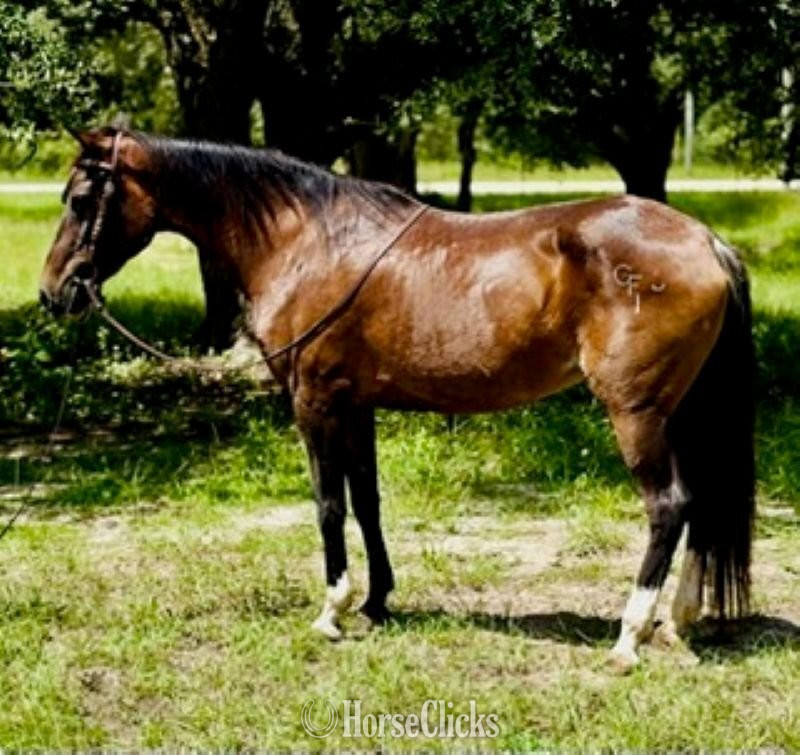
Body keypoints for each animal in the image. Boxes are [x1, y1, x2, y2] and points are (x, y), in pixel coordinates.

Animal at [39, 127, 755, 671]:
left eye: (81, 198)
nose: (54, 293)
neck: (306, 242)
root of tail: (705, 241)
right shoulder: (356, 405)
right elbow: (367, 500)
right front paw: (377, 601)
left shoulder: (314, 403)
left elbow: (328, 505)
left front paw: (331, 610)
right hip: (682, 414)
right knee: (701, 503)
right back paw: (678, 624)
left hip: (636, 415)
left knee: (668, 507)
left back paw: (630, 636)